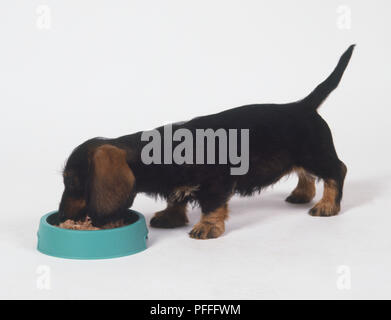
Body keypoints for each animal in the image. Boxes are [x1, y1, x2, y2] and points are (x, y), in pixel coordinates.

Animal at [58, 45, 356, 240]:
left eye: (72, 181)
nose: (61, 217)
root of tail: (302, 105)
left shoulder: (217, 182)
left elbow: (212, 205)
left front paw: (207, 226)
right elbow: (177, 198)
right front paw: (170, 216)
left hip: (315, 154)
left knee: (336, 171)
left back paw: (327, 205)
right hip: (302, 157)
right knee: (306, 174)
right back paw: (302, 194)